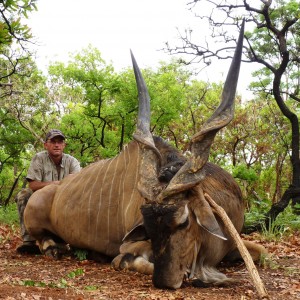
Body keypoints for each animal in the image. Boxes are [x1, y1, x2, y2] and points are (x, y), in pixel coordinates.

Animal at [24, 21, 266, 288]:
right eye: (149, 227)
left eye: (184, 221)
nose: (165, 281)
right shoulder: (130, 246)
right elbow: (124, 259)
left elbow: (263, 253)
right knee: (43, 241)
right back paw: (55, 248)